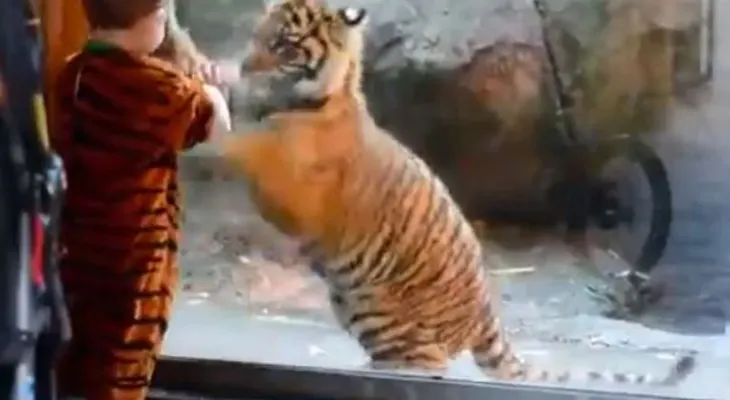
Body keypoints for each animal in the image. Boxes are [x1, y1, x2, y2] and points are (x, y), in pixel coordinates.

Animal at [222, 0, 695, 385]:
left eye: (284, 45)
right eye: (257, 35)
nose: (244, 67)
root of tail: (487, 313)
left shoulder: (298, 198)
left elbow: (252, 150)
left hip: (381, 312)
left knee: (425, 365)